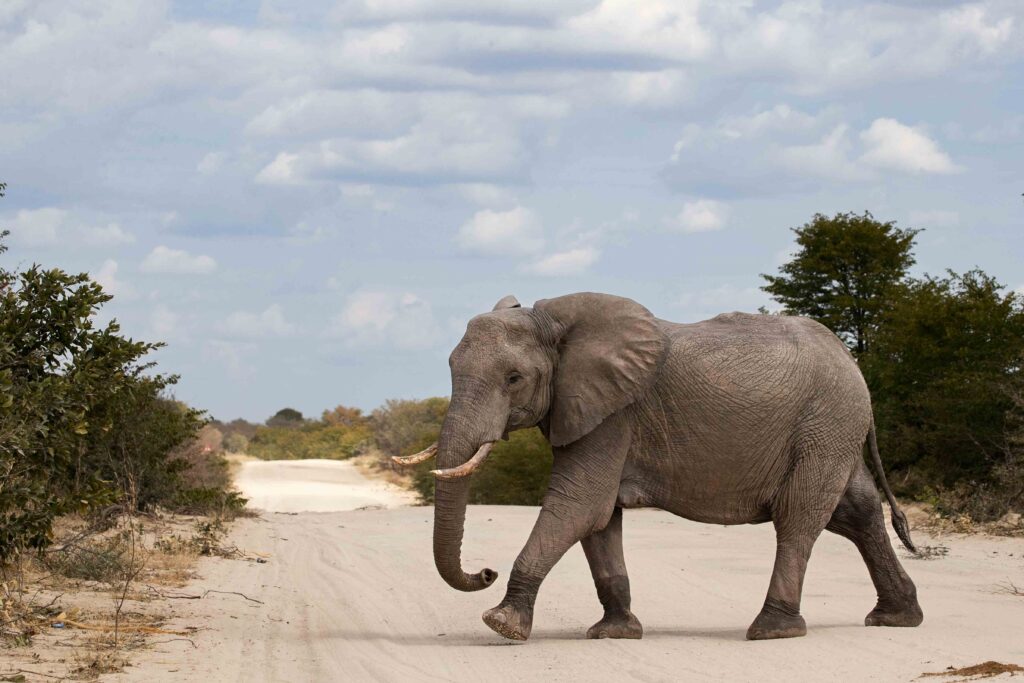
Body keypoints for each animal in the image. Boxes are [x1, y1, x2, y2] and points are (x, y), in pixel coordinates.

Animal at [394, 292, 923, 642]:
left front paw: (501, 625)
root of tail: (850, 358)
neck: (555, 318)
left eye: (513, 379)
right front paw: (615, 633)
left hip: (824, 423)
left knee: (798, 518)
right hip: (833, 427)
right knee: (856, 512)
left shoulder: (615, 412)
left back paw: (772, 630)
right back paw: (897, 619)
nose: (485, 570)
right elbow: (598, 518)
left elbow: (579, 505)